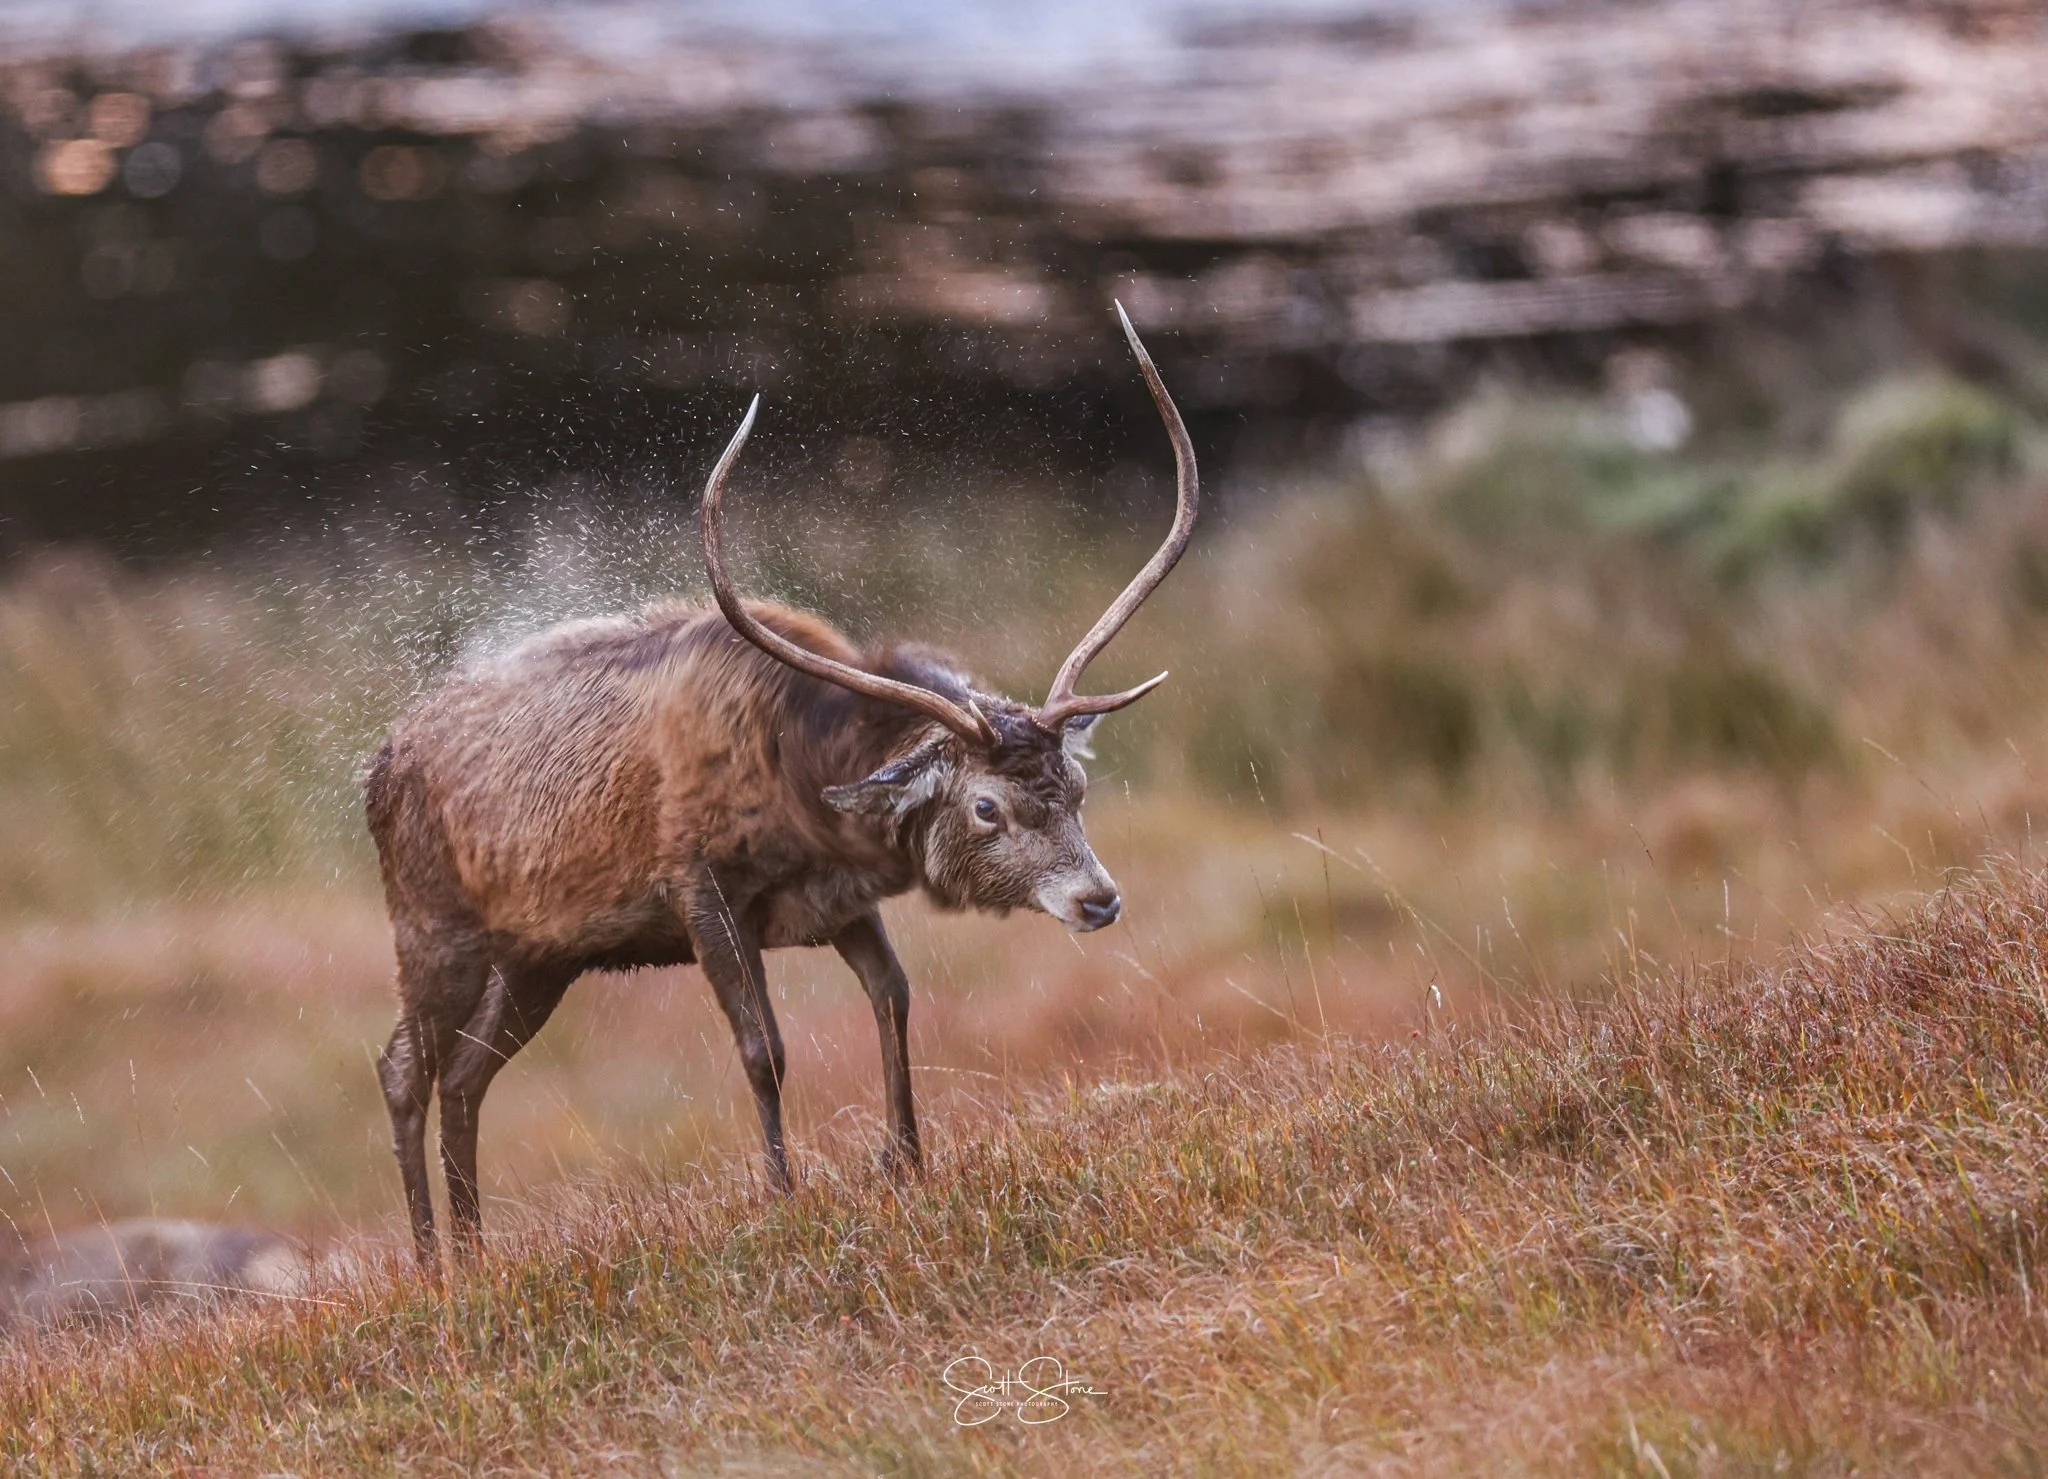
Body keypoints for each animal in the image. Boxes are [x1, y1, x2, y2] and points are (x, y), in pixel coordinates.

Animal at [364, 305, 1196, 1265]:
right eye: (985, 805)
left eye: (1076, 785)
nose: (1099, 899)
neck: (804, 787)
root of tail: (375, 768)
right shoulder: (701, 889)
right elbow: (764, 1048)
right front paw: (781, 1192)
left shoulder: (840, 900)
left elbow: (893, 995)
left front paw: (905, 1160)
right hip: (433, 925)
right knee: (403, 1065)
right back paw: (432, 1260)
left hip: (541, 953)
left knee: (465, 1073)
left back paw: (474, 1249)